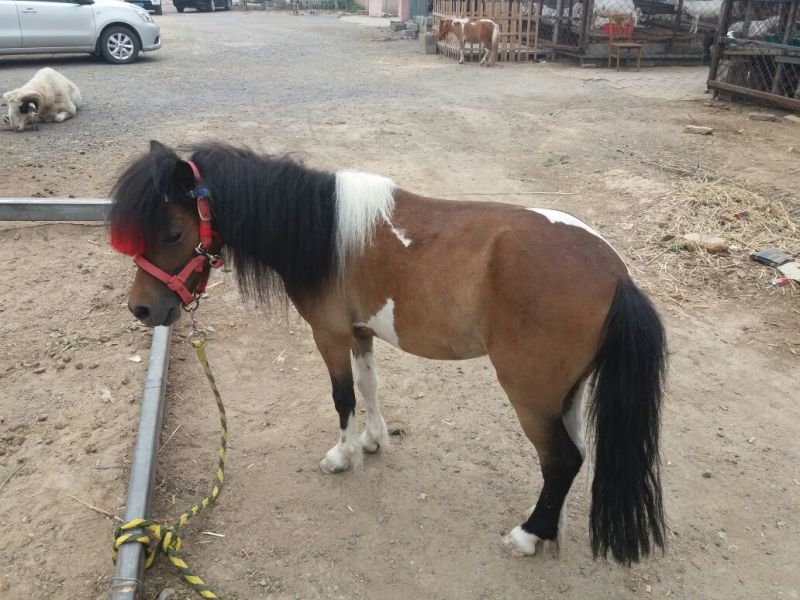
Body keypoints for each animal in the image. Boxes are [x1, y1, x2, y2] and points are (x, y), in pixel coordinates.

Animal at [109, 141, 667, 565]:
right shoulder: (360, 332)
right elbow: (368, 385)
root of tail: (617, 276)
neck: (325, 231)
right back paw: (553, 531)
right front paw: (374, 441)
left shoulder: (330, 334)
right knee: (574, 456)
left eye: (173, 232)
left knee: (561, 459)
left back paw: (528, 535)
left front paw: (343, 455)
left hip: (530, 393)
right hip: (564, 394)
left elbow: (342, 397)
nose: (141, 308)